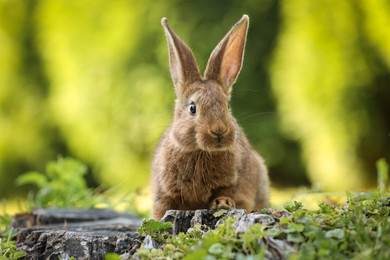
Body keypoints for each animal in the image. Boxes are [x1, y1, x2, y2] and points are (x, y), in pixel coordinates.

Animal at [152, 14, 268, 219]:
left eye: (227, 106)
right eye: (193, 108)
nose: (219, 130)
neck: (201, 152)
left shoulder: (233, 180)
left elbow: (225, 191)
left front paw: (222, 204)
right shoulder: (163, 189)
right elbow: (162, 207)